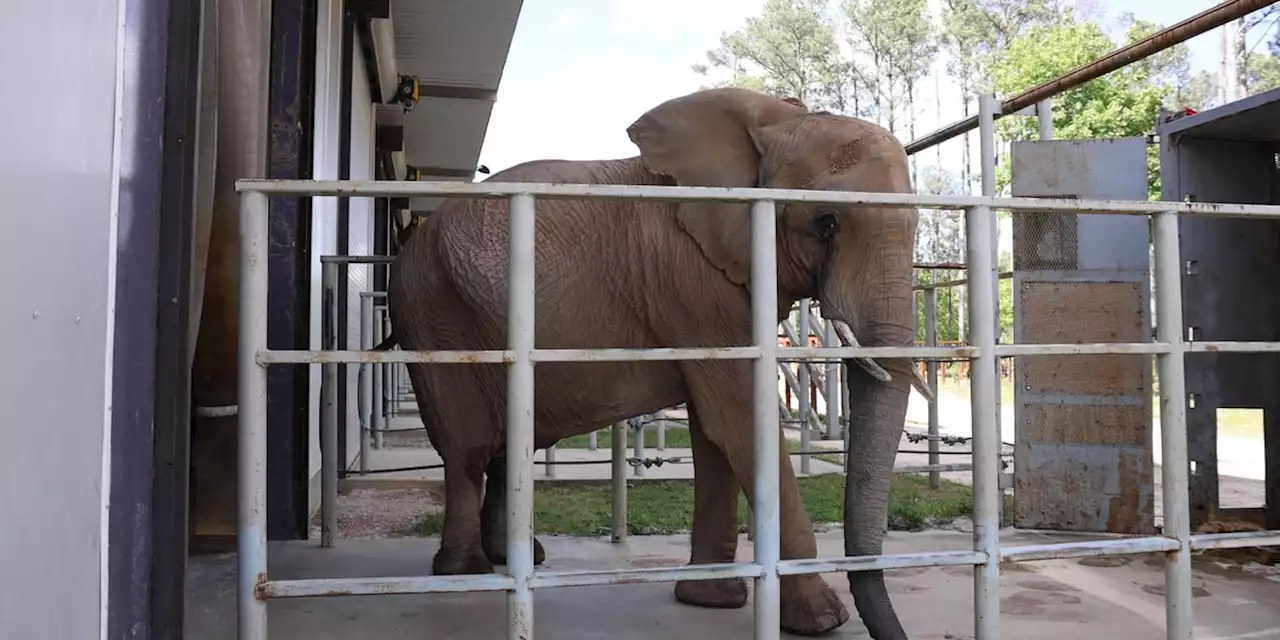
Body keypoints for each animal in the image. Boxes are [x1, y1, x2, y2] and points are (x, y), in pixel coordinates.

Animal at [384, 86, 926, 640]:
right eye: (827, 222)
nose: (897, 633)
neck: (775, 123)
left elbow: (715, 432)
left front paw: (710, 600)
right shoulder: (693, 275)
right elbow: (738, 419)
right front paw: (820, 621)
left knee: (510, 441)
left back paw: (517, 560)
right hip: (434, 312)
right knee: (468, 447)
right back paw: (464, 574)